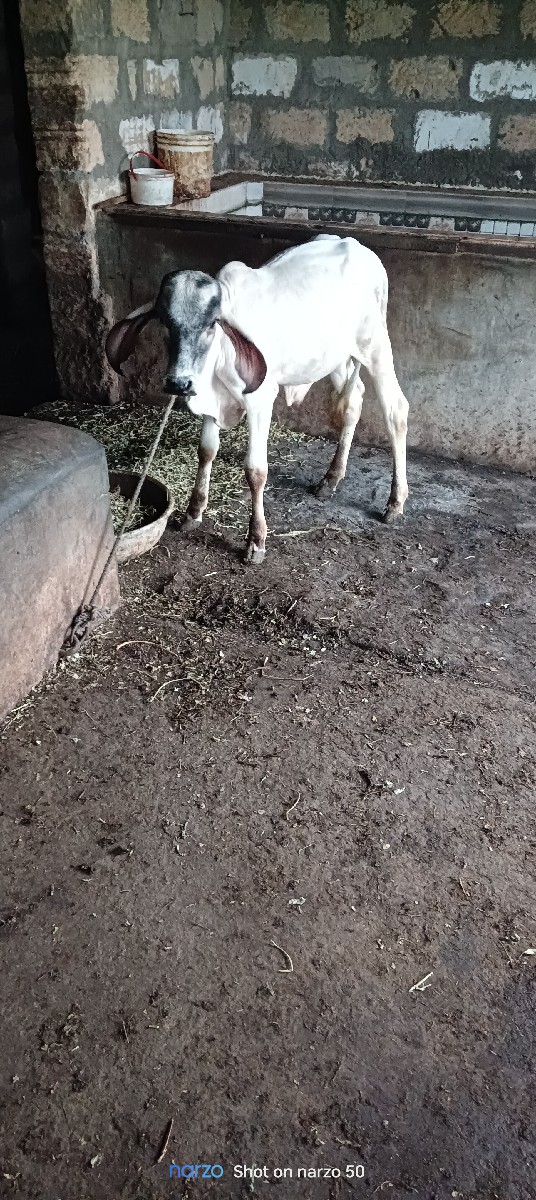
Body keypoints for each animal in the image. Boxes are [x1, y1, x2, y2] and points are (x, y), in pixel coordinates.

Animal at [105, 234, 409, 563]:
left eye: (212, 323)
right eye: (165, 322)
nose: (179, 382)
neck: (220, 355)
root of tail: (354, 243)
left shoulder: (261, 401)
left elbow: (256, 471)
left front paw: (256, 540)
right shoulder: (213, 401)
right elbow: (206, 451)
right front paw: (194, 511)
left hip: (376, 348)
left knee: (396, 411)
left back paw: (395, 502)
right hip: (336, 359)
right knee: (353, 404)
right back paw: (330, 479)